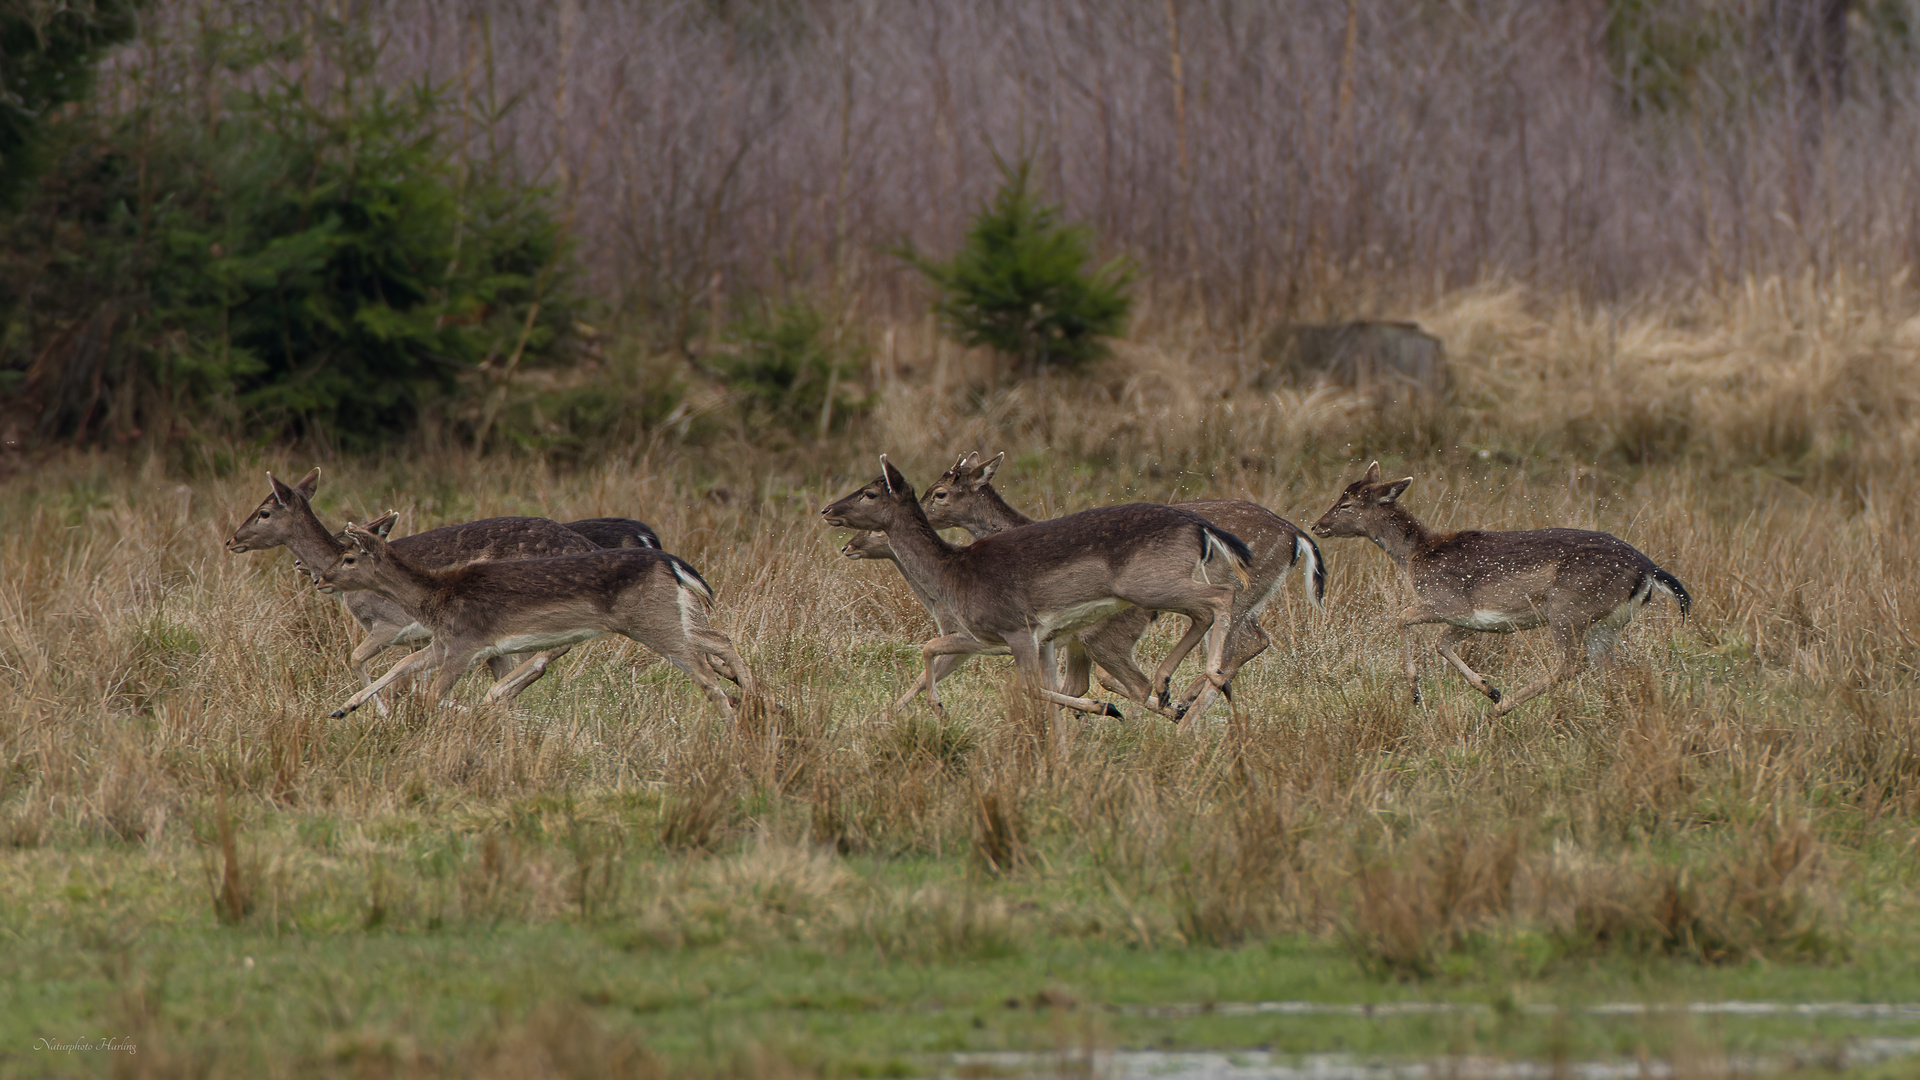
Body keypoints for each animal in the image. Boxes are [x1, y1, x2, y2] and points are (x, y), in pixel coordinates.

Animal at [314, 518, 748, 714]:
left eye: (349, 557)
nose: (319, 576)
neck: (436, 597)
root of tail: (670, 562)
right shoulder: (446, 642)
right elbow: (401, 666)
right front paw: (343, 708)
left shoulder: (466, 643)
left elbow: (432, 692)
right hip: (665, 617)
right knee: (718, 639)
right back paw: (754, 695)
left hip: (651, 621)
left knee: (704, 670)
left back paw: (736, 721)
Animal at [821, 453, 1244, 722]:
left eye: (869, 493)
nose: (827, 511)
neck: (951, 576)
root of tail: (1203, 528)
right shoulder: (1015, 638)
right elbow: (932, 653)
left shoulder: (1017, 629)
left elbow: (1026, 688)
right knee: (1199, 615)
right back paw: (1172, 690)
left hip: (1146, 586)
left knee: (1219, 598)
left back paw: (1206, 680)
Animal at [921, 451, 1328, 714]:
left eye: (940, 493)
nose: (920, 511)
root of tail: (1297, 536)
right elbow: (1077, 687)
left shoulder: (1092, 633)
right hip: (1253, 596)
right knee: (1253, 639)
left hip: (1243, 588)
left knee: (1240, 636)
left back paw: (1186, 703)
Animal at [1305, 457, 1697, 711]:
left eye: (1346, 504)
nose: (1316, 525)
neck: (1417, 556)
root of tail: (1650, 570)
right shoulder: (1469, 619)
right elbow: (1441, 643)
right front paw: (1487, 688)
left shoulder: (1448, 601)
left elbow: (1402, 618)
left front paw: (1417, 693)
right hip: (1609, 623)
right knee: (1615, 670)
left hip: (1568, 607)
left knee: (1571, 664)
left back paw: (1503, 707)